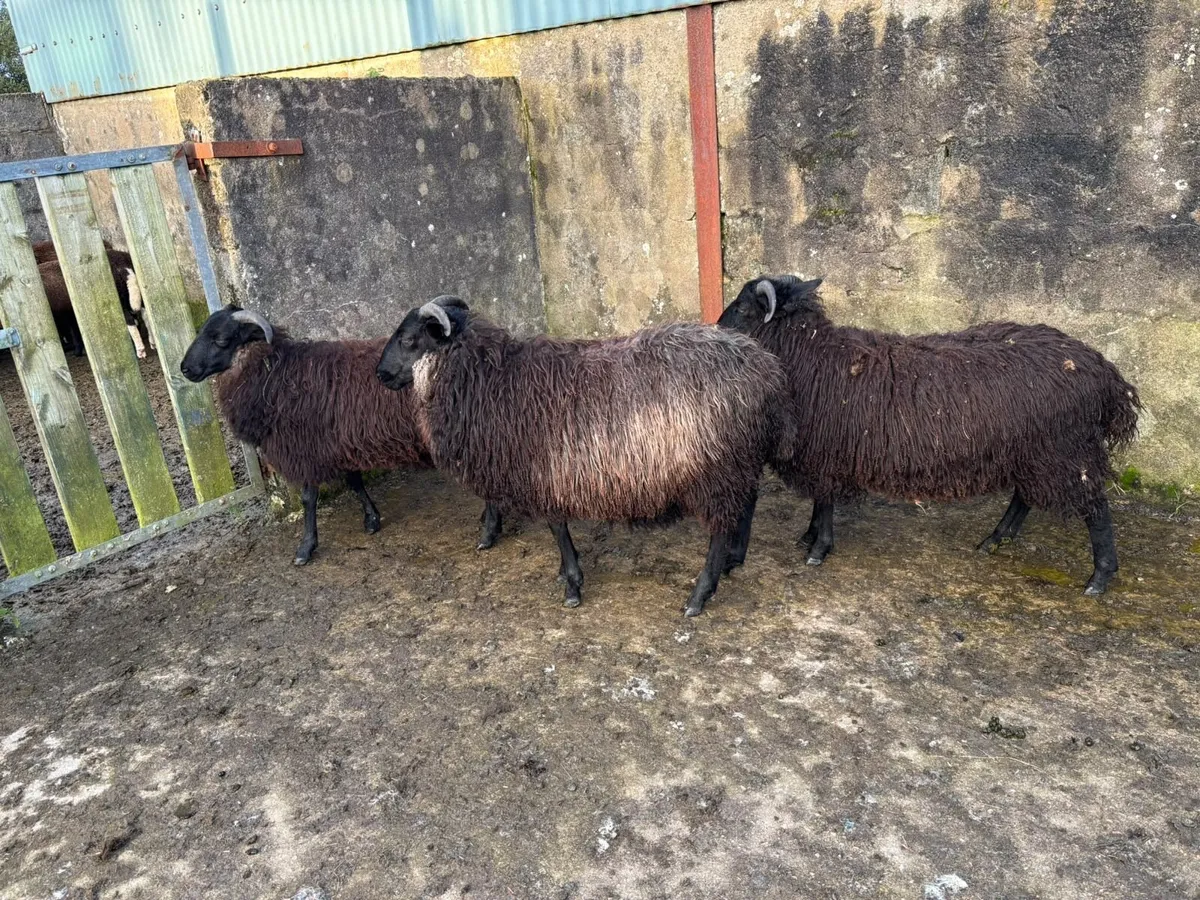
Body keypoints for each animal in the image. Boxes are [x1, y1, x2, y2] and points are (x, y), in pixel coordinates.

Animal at [180, 304, 503, 565]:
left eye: (221, 340)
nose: (185, 369)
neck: (275, 373)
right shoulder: (339, 442)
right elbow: (354, 481)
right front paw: (371, 519)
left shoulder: (306, 449)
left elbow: (309, 498)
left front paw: (305, 548)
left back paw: (489, 530)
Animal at [375, 296, 794, 617]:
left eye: (409, 339)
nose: (379, 374)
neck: (491, 380)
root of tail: (765, 368)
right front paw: (565, 574)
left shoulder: (547, 473)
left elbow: (557, 528)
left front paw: (572, 585)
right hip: (740, 460)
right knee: (747, 503)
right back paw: (734, 559)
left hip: (717, 467)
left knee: (720, 528)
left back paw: (701, 593)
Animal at [717, 274, 1142, 595]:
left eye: (743, 307)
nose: (715, 329)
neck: (810, 357)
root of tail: (1105, 374)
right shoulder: (823, 454)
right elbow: (822, 502)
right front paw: (809, 538)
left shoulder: (826, 452)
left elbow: (824, 503)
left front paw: (818, 550)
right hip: (1035, 450)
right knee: (1025, 496)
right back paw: (996, 539)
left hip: (1065, 450)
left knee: (1096, 509)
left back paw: (1100, 577)